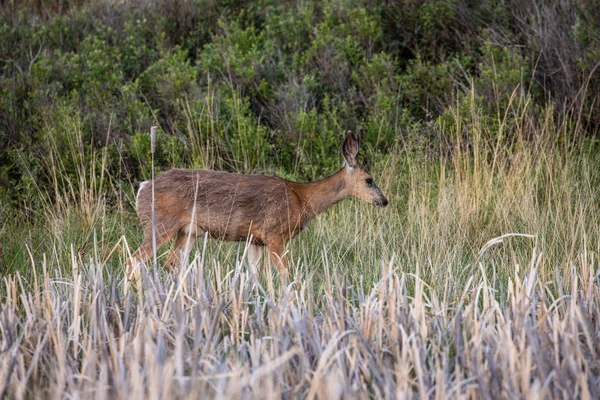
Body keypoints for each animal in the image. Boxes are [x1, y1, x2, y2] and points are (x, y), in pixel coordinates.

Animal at [128, 130, 386, 276]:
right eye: (369, 179)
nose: (384, 200)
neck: (302, 199)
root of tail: (143, 187)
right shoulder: (275, 234)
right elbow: (285, 275)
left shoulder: (255, 240)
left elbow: (255, 275)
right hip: (160, 224)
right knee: (134, 259)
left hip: (187, 232)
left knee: (171, 263)